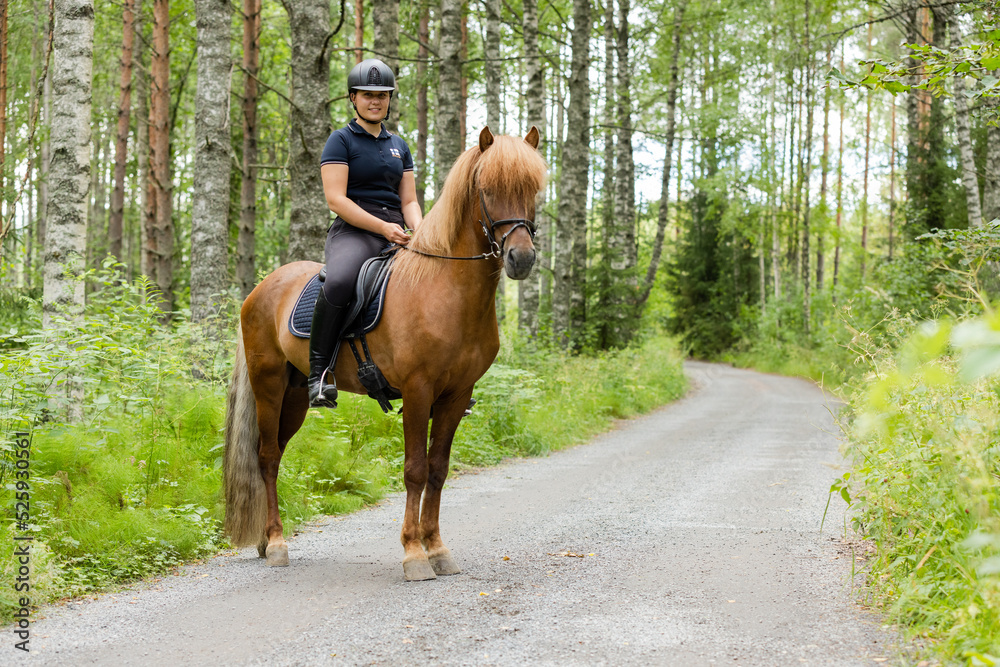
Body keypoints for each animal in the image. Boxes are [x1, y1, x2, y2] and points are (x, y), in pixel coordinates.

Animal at [222, 126, 546, 581]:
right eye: (487, 189)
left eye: (533, 188)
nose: (521, 258)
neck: (445, 289)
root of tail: (260, 289)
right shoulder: (417, 390)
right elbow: (414, 470)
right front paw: (413, 554)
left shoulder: (456, 394)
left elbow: (438, 469)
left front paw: (437, 548)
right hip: (267, 383)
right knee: (267, 458)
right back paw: (278, 544)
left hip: (294, 395)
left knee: (276, 454)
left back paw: (265, 541)